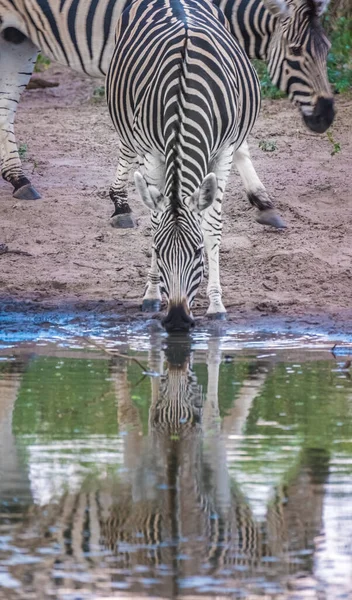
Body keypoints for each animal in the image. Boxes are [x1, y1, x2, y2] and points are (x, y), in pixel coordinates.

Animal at [0, 0, 334, 230]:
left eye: (327, 49)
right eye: (295, 53)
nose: (326, 117)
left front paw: (261, 200)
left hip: (17, 38)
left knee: (5, 104)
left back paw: (19, 179)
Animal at [107, 0, 264, 328]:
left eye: (197, 252)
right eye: (157, 250)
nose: (178, 320)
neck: (185, 95)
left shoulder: (223, 152)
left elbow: (212, 226)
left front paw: (216, 305)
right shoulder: (151, 152)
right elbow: (155, 220)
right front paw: (151, 293)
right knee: (125, 147)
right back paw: (120, 204)